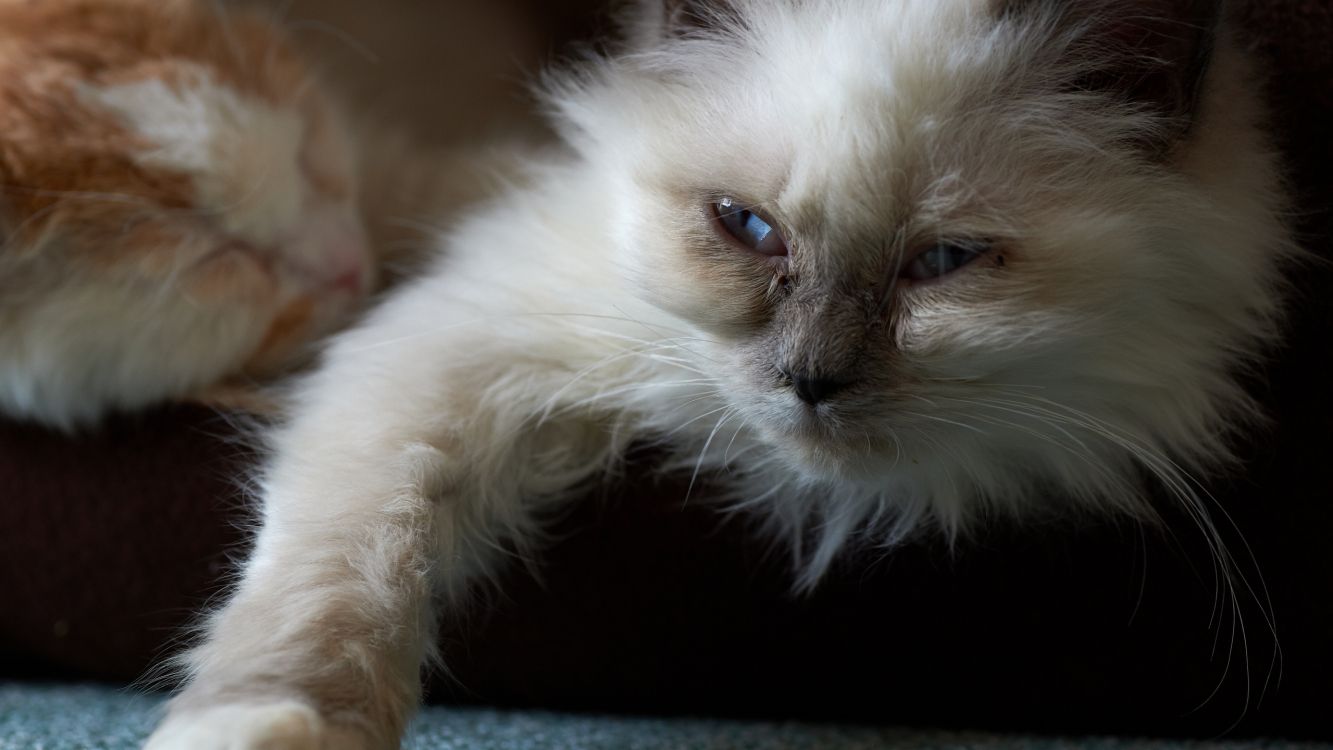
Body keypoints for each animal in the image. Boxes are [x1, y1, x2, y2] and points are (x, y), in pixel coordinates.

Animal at [143, 1, 1290, 750]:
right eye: (747, 228)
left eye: (941, 263)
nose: (810, 381)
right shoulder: (474, 339)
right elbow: (345, 566)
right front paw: (269, 725)